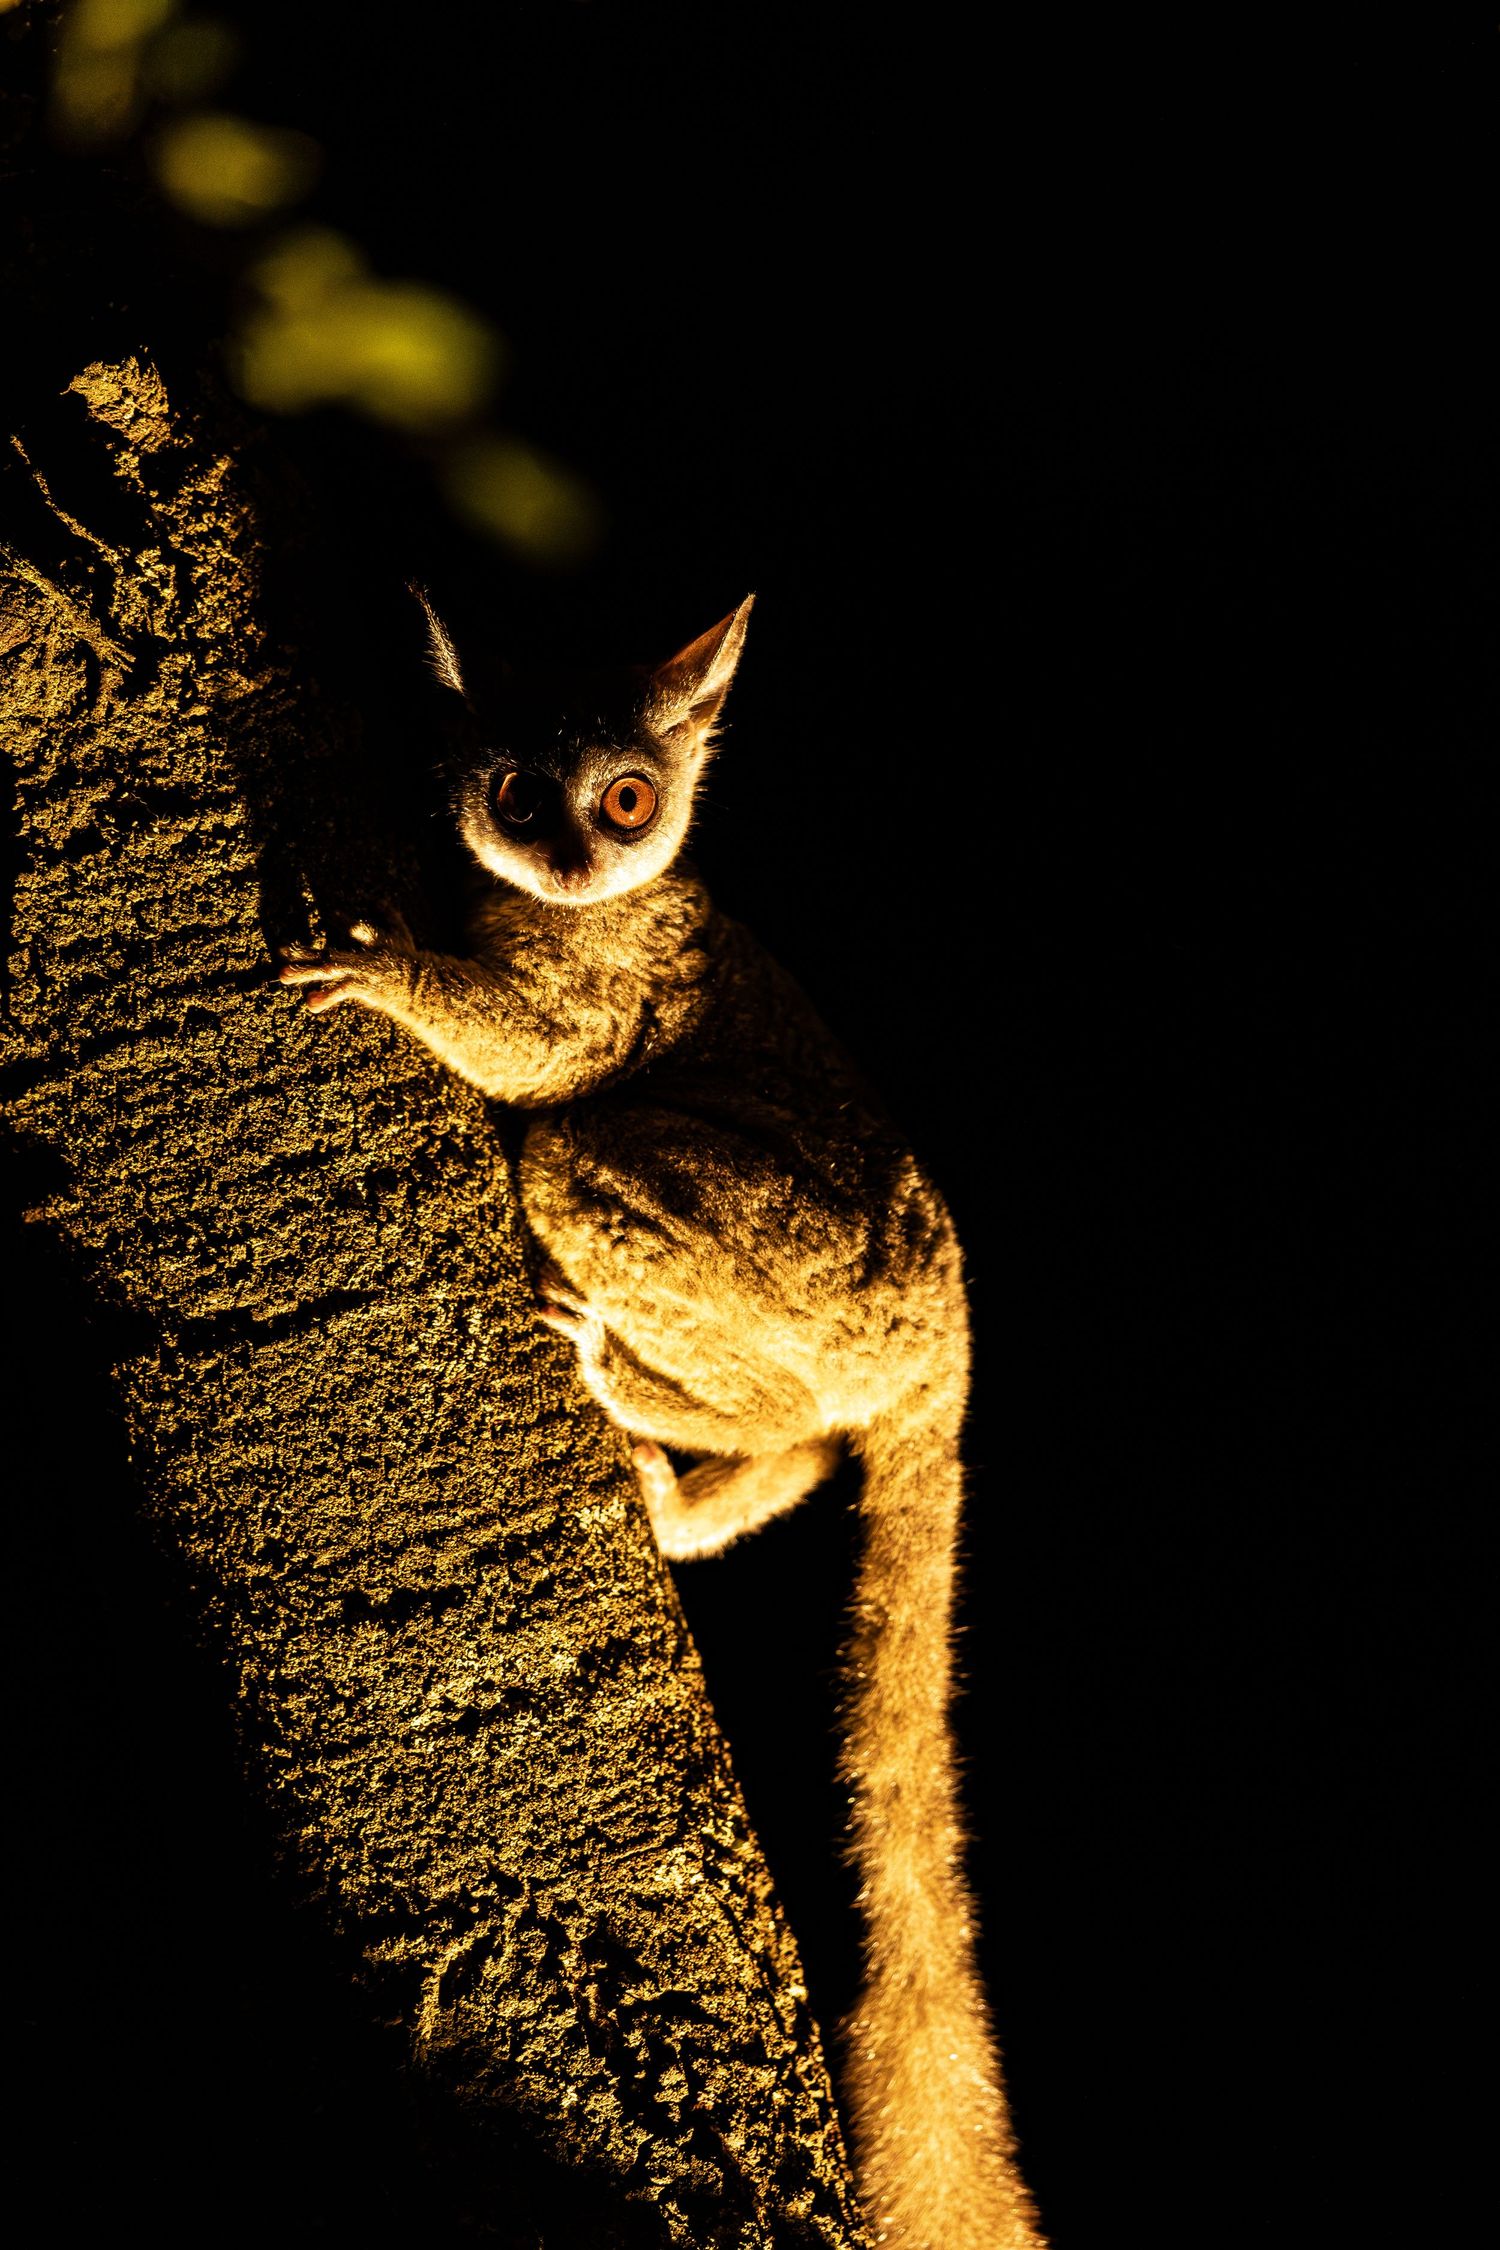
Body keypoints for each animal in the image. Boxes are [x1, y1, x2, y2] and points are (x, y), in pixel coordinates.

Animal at [278, 592, 1045, 2250]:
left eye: (625, 800)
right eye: (518, 795)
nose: (574, 856)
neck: (571, 912)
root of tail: (950, 1345)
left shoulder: (608, 973)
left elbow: (544, 1053)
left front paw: (391, 979)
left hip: (806, 1268)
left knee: (578, 1147)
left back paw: (621, 1375)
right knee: (811, 1447)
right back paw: (694, 1494)